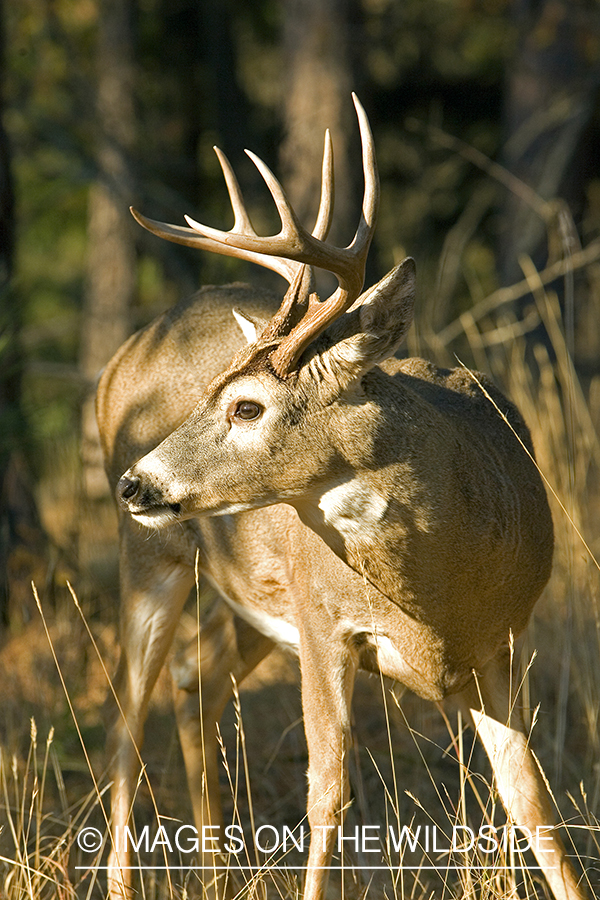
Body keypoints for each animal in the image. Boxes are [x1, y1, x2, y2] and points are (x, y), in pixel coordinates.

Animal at [99, 98, 592, 900]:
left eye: (246, 405)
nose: (135, 482)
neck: (438, 592)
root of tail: (121, 355)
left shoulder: (501, 640)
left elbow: (533, 801)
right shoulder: (325, 622)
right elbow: (327, 791)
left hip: (254, 602)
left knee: (196, 680)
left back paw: (215, 869)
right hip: (155, 556)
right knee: (125, 715)